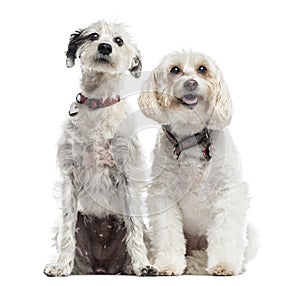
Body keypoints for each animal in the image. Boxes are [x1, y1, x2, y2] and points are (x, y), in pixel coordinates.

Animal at [44, 20, 157, 278]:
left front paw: (143, 265)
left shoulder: (128, 177)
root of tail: (101, 266)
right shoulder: (70, 177)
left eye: (119, 40)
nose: (105, 47)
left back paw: (132, 266)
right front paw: (60, 266)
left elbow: (134, 229)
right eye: (93, 35)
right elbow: (67, 228)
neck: (98, 104)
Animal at [138, 50, 258, 274]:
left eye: (203, 69)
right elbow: (168, 234)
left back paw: (198, 262)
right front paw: (168, 265)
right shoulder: (163, 196)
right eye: (175, 69)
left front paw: (223, 265)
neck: (190, 138)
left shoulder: (229, 193)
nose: (191, 83)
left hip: (251, 233)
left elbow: (226, 233)